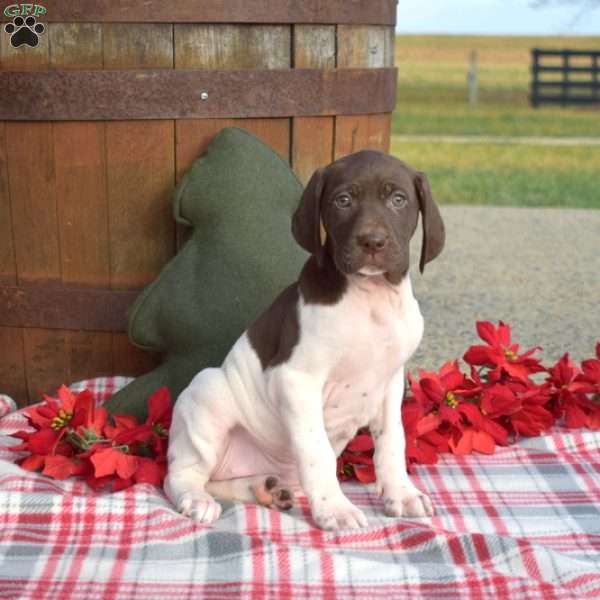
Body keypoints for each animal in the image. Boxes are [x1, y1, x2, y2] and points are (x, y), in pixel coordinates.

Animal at [164, 150, 446, 528]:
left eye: (398, 200)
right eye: (343, 200)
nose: (372, 242)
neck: (370, 298)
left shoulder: (390, 383)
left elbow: (392, 444)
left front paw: (401, 494)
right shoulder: (297, 380)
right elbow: (317, 452)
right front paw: (336, 509)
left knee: (222, 480)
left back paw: (263, 488)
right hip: (207, 392)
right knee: (183, 475)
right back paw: (197, 500)